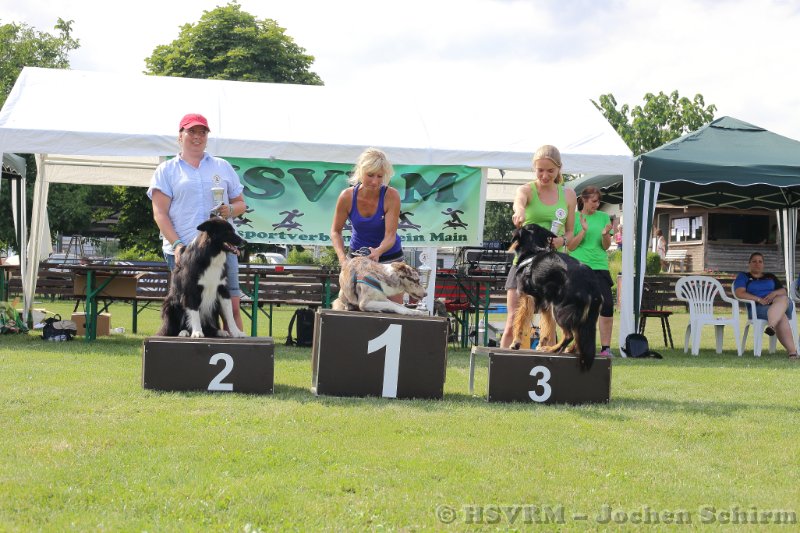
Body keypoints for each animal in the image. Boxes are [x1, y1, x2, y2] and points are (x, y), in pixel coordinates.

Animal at [510, 223, 602, 370]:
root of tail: (590, 283)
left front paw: (515, 342)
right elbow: (546, 327)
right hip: (582, 316)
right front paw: (541, 343)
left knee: (569, 335)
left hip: (559, 309)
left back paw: (552, 349)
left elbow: (520, 321)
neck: (533, 249)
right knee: (578, 335)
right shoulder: (546, 303)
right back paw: (570, 350)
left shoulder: (527, 298)